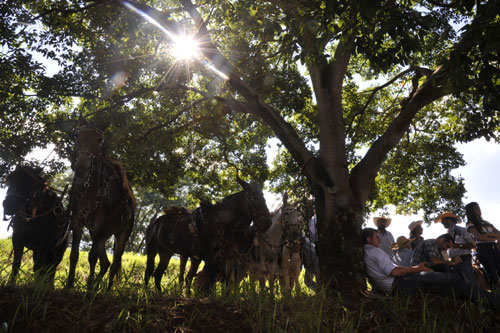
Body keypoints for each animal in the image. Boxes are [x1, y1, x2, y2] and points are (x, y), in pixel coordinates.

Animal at [67, 116, 137, 288]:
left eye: (100, 139)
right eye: (77, 135)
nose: (81, 167)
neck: (90, 188)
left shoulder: (100, 222)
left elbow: (92, 257)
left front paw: (88, 286)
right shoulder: (76, 219)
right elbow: (74, 254)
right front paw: (69, 285)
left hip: (122, 233)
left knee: (114, 263)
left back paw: (106, 289)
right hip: (102, 235)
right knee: (105, 263)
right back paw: (96, 286)